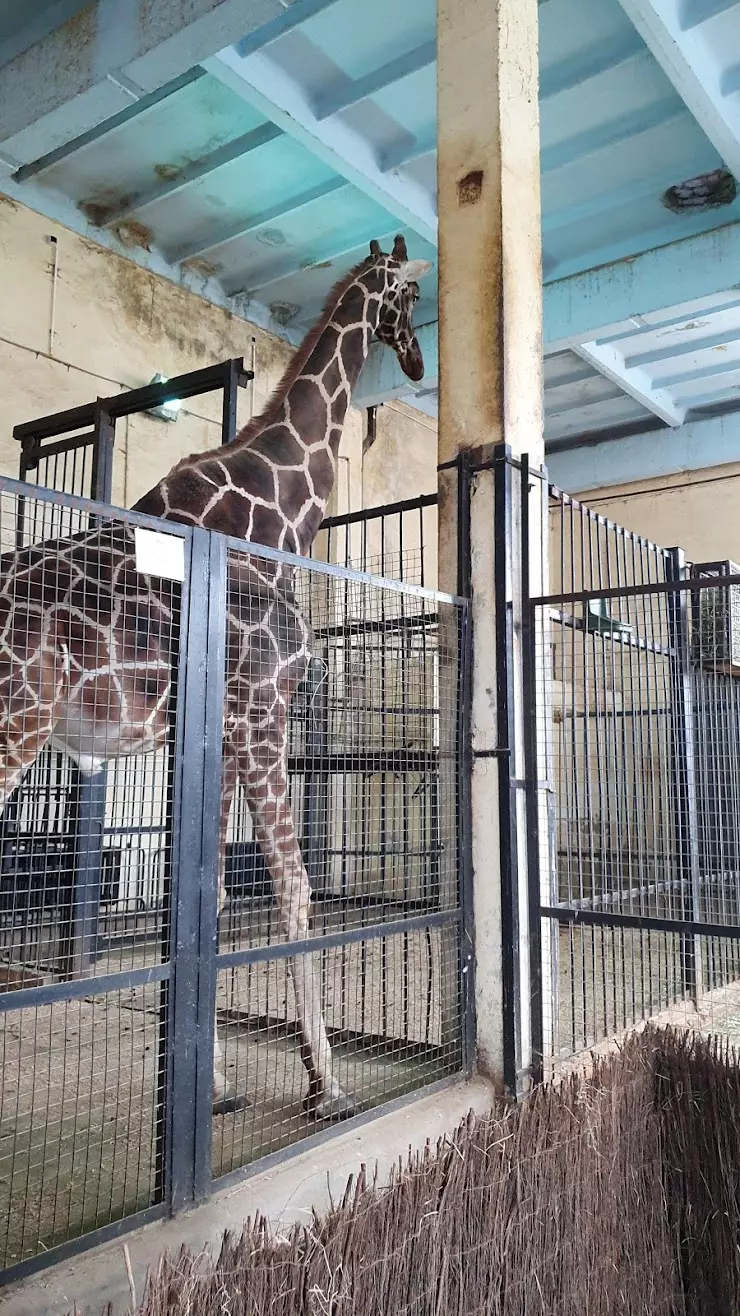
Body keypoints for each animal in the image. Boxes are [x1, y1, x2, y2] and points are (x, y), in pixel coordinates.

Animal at [0, 236, 431, 1121]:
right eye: (407, 295)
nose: (414, 361)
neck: (275, 511)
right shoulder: (263, 716)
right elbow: (294, 890)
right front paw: (326, 1081)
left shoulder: (221, 737)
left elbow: (210, 896)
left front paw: (213, 1083)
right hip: (16, 720)